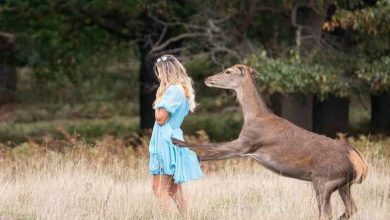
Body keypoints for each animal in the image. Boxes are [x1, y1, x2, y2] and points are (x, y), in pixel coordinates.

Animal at [172, 64, 368, 220]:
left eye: (228, 71)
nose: (207, 79)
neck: (254, 117)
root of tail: (361, 165)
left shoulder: (246, 143)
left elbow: (210, 149)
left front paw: (178, 143)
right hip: (343, 184)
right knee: (351, 208)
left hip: (323, 180)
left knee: (327, 214)